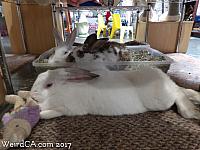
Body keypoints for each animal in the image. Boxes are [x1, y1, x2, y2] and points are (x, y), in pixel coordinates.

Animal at [30, 67, 200, 119]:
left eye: (49, 85)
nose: (32, 94)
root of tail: (161, 75)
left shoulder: (68, 109)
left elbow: (49, 113)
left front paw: (40, 112)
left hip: (160, 101)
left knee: (177, 92)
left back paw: (191, 111)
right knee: (180, 88)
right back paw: (195, 98)